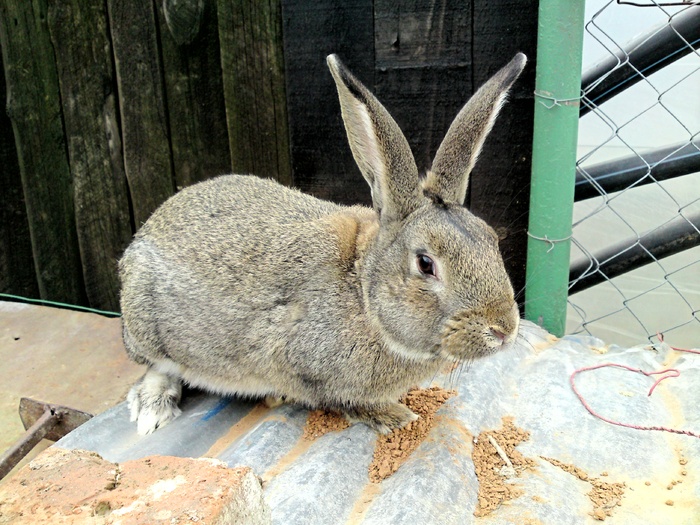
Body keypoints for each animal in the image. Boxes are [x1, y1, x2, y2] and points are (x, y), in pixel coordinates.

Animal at [120, 52, 524, 434]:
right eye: (426, 264)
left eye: (491, 239)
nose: (503, 330)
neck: (363, 292)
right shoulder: (300, 361)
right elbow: (339, 399)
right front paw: (395, 417)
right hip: (147, 328)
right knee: (156, 366)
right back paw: (153, 409)